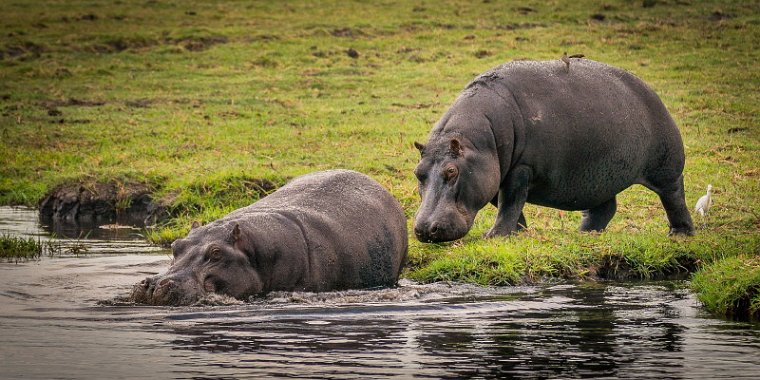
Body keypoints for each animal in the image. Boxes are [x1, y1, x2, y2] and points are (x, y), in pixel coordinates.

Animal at [416, 59, 696, 243]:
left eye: (452, 171)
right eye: (418, 173)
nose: (424, 229)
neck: (478, 141)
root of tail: (648, 89)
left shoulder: (520, 169)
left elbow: (510, 202)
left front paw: (494, 236)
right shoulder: (495, 172)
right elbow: (505, 205)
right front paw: (519, 232)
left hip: (665, 169)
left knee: (674, 197)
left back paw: (680, 234)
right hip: (598, 180)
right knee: (605, 208)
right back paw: (586, 233)